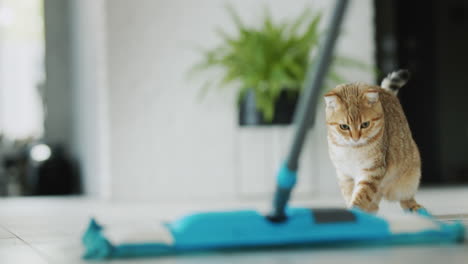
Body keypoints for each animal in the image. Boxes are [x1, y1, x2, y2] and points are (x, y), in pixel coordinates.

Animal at [324, 69, 422, 212]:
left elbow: (362, 195)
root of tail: (385, 90)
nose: (355, 138)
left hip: (408, 180)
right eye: (344, 127)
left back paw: (415, 208)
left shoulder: (372, 171)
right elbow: (350, 194)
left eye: (365, 124)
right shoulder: (345, 175)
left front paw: (356, 209)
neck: (352, 149)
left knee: (405, 198)